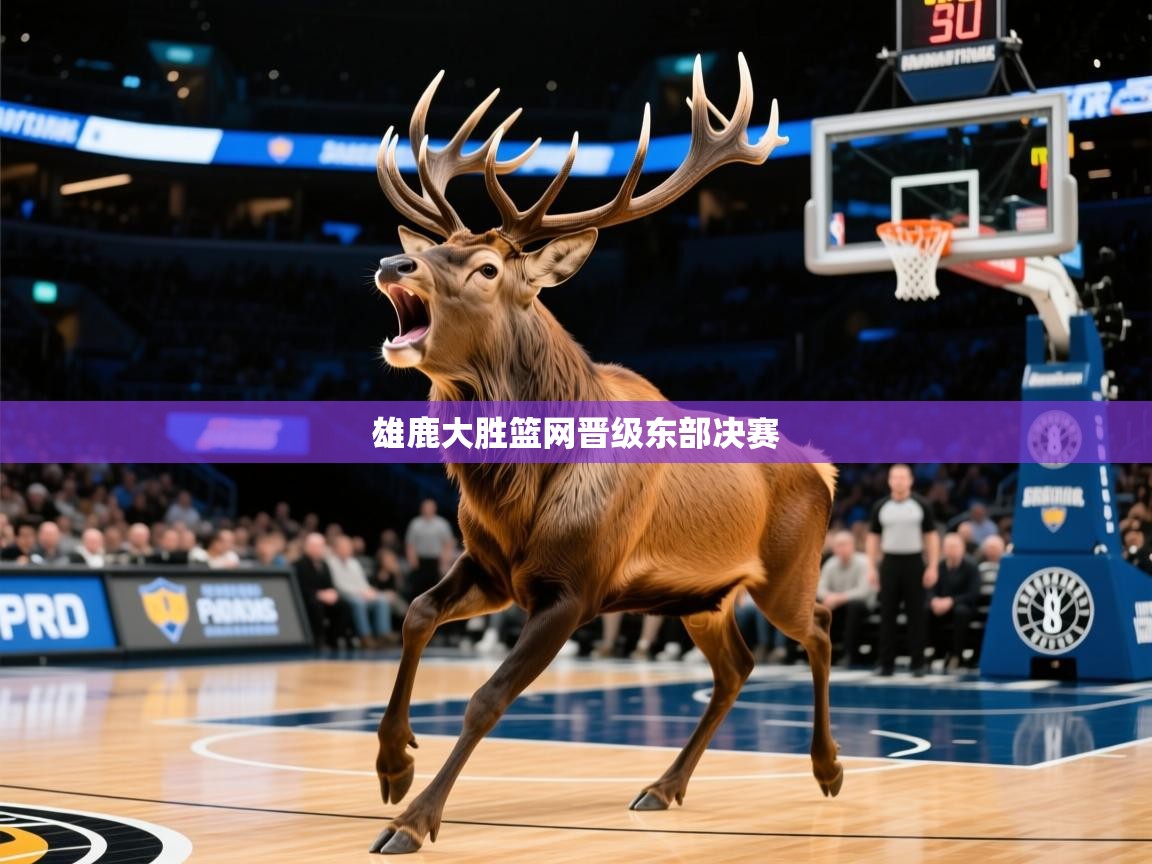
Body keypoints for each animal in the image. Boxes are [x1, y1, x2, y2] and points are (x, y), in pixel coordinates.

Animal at [369, 54, 840, 854]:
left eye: (487, 267)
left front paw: (414, 820)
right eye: (434, 248)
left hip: (785, 572)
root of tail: (827, 469)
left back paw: (829, 768)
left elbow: (486, 698)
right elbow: (416, 612)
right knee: (737, 667)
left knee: (821, 629)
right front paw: (393, 765)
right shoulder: (495, 568)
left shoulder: (576, 587)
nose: (394, 262)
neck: (516, 488)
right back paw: (663, 785)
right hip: (700, 595)